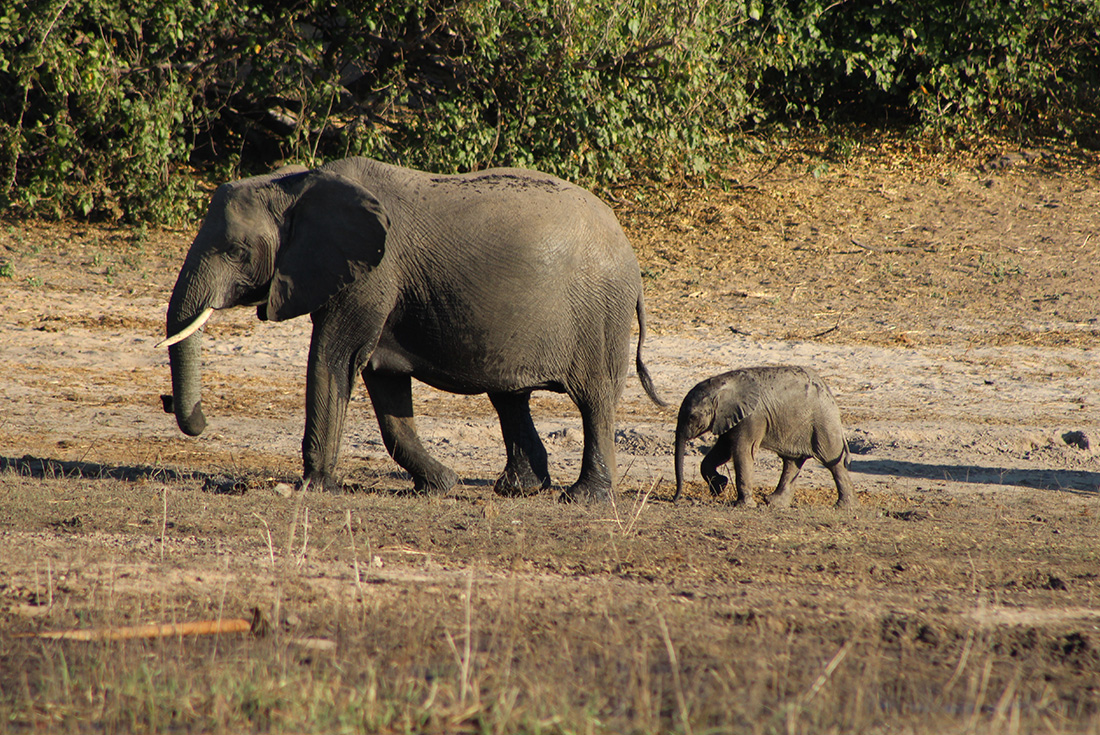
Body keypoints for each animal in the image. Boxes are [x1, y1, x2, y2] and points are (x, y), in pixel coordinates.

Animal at [160, 158, 664, 501]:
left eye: (236, 251)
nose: (196, 419)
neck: (296, 183)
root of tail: (630, 254)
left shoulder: (371, 276)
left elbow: (334, 358)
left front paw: (314, 488)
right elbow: (382, 379)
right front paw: (440, 486)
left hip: (599, 314)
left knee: (595, 399)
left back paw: (582, 498)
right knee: (510, 398)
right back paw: (516, 489)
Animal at [668, 365, 858, 508]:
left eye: (692, 417)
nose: (674, 499)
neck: (721, 384)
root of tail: (829, 392)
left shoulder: (752, 416)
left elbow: (742, 450)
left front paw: (743, 505)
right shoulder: (730, 417)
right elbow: (723, 450)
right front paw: (720, 486)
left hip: (823, 422)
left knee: (832, 461)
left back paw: (844, 507)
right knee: (792, 462)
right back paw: (774, 503)